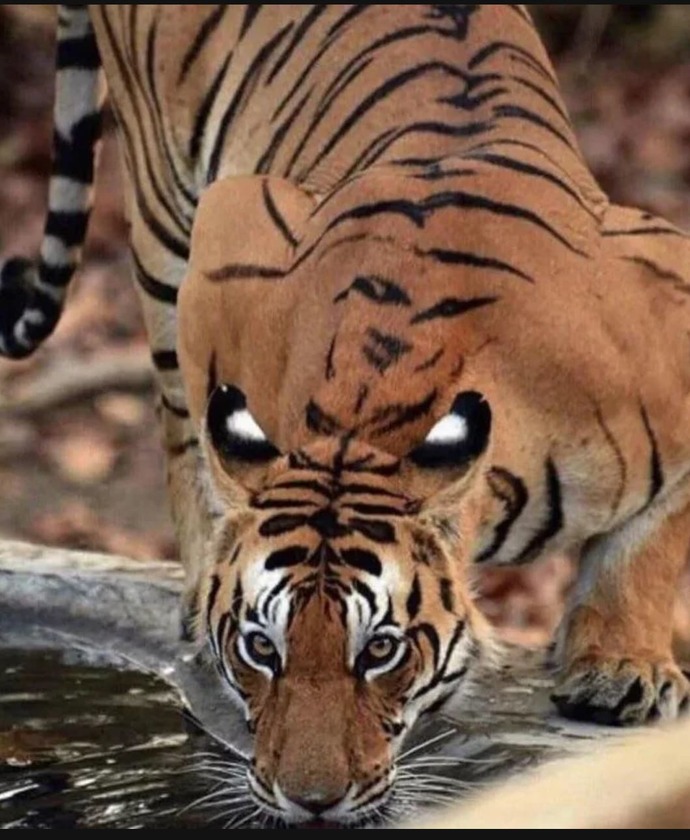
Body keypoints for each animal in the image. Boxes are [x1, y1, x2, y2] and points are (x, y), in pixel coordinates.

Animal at [1, 3, 690, 827]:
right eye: (261, 648)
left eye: (381, 651)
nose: (312, 802)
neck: (371, 421)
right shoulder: (232, 237)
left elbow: (649, 545)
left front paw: (622, 664)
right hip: (165, 222)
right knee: (176, 431)